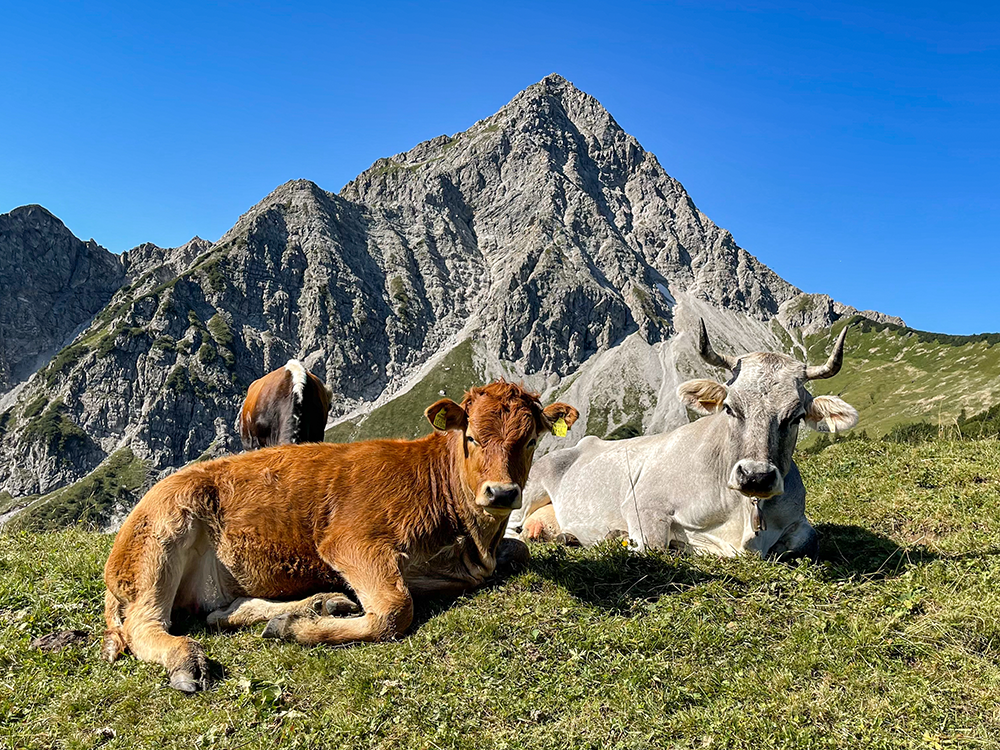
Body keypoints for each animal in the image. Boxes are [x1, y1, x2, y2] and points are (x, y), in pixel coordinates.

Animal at [101, 382, 580, 692]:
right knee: (145, 625)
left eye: (530, 441)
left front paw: (298, 621)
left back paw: (312, 604)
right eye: (473, 437)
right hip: (163, 537)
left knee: (222, 610)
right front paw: (298, 632)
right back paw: (189, 657)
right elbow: (395, 610)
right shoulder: (350, 542)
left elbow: (520, 549)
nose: (501, 492)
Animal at [512, 320, 856, 560]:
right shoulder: (644, 504)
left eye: (795, 416)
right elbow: (654, 545)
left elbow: (809, 543)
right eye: (730, 407)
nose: (756, 476)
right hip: (529, 489)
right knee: (514, 527)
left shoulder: (800, 522)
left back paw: (565, 536)